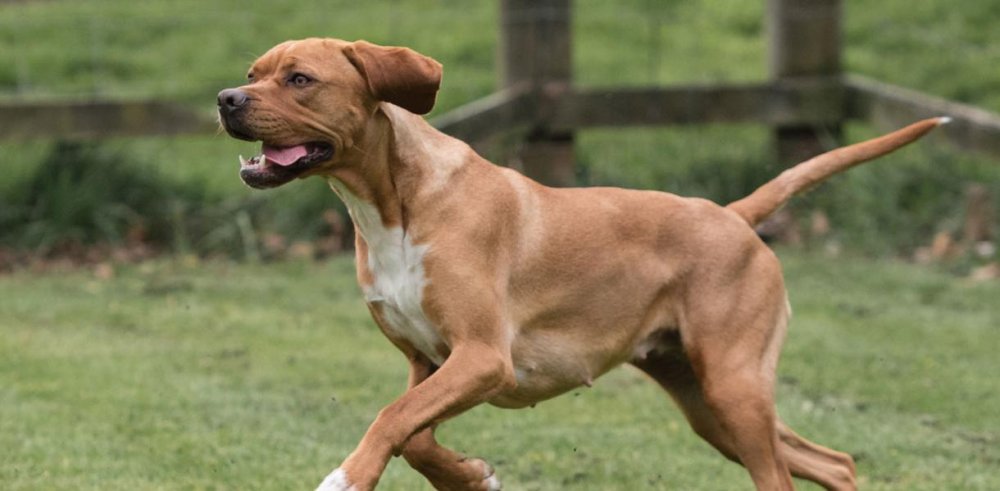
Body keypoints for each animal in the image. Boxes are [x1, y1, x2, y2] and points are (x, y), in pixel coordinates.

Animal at [217, 36, 944, 490]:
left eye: (300, 79)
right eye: (253, 74)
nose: (226, 98)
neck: (397, 204)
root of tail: (734, 213)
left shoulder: (483, 357)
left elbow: (392, 421)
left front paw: (349, 475)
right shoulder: (431, 363)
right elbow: (411, 432)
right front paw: (470, 475)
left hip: (734, 388)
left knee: (783, 474)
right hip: (709, 403)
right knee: (834, 462)